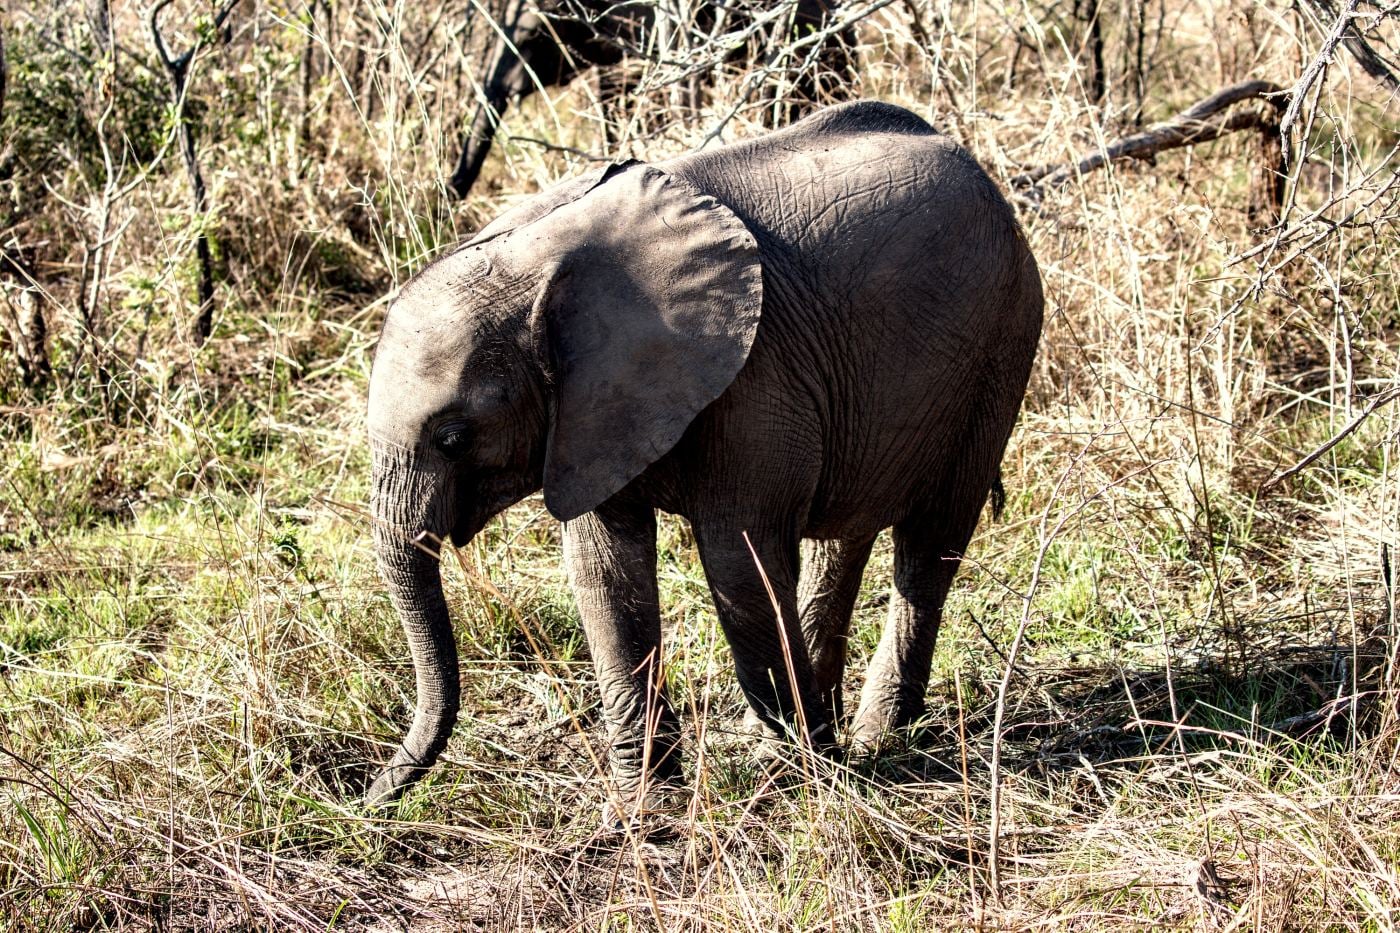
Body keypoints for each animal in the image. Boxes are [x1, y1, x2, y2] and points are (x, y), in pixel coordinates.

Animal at [366, 100, 1044, 809]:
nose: (371, 796)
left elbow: (739, 565)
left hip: (1001, 343)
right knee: (844, 535)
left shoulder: (754, 381)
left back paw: (871, 737)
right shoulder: (587, 416)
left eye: (453, 437)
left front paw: (807, 774)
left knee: (931, 541)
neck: (532, 258)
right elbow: (606, 576)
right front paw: (646, 808)